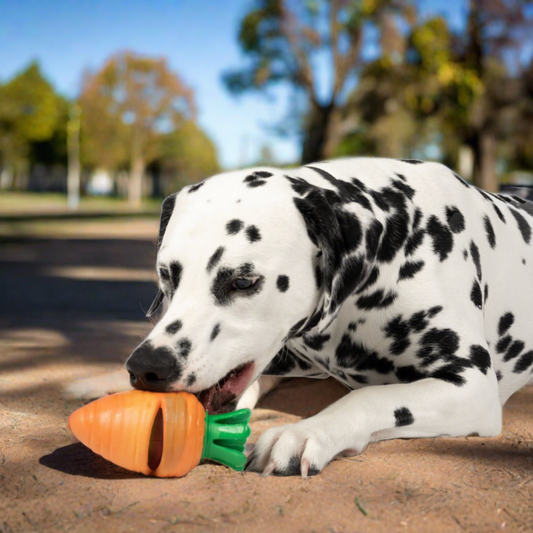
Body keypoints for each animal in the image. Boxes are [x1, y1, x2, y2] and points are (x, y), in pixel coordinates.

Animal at [68, 158, 532, 478]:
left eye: (242, 281)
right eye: (166, 275)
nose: (147, 368)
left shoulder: (472, 387)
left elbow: (370, 397)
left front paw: (306, 431)